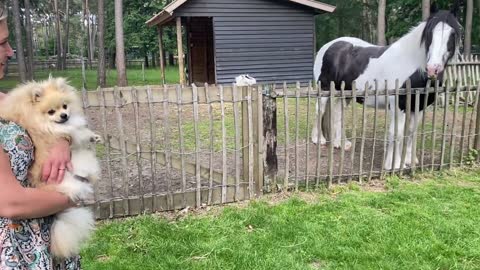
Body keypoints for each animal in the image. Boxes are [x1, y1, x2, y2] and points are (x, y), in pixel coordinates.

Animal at [0, 77, 100, 258]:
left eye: (65, 106)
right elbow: (73, 132)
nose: (64, 115)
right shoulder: (50, 131)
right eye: (51, 111)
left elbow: (78, 130)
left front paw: (93, 136)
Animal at [312, 3, 462, 170]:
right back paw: (319, 140)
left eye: (453, 34)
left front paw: (409, 161)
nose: (433, 69)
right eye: (429, 33)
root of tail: (329, 46)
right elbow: (396, 133)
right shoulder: (398, 106)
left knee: (338, 113)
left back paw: (341, 144)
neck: (412, 65)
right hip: (324, 89)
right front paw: (393, 164)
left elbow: (411, 131)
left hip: (344, 93)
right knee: (319, 111)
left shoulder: (419, 106)